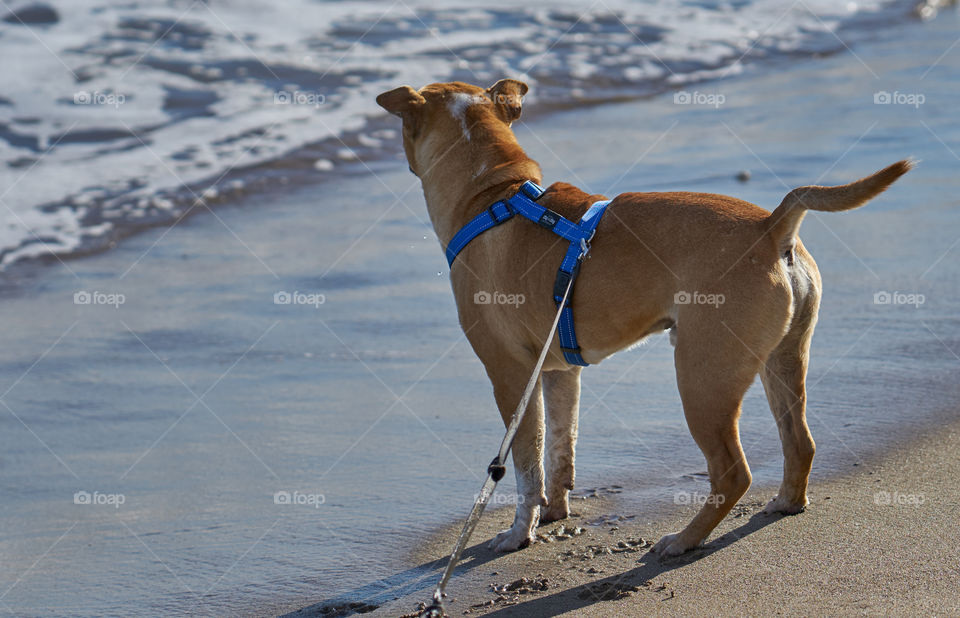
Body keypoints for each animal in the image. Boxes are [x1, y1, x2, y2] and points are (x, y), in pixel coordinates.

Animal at [376, 79, 916, 556]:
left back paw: (684, 540)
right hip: (781, 360)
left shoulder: (511, 378)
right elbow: (560, 449)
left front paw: (518, 533)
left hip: (703, 378)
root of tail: (770, 227)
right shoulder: (558, 373)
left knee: (732, 471)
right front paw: (555, 512)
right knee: (799, 443)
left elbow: (527, 467)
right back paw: (785, 502)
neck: (494, 195)